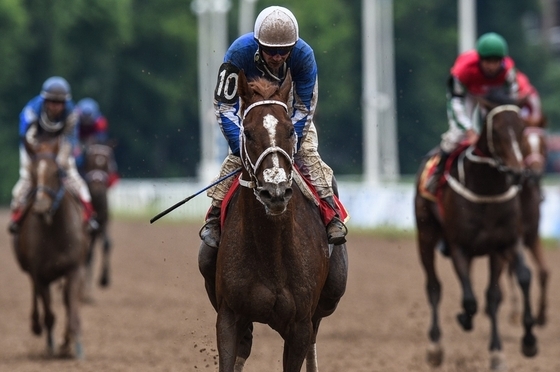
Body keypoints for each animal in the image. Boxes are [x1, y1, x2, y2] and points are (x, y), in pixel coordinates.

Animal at [12, 134, 88, 358]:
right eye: (32, 172)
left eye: (57, 172)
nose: (41, 206)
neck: (55, 233)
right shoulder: (39, 274)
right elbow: (49, 313)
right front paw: (52, 344)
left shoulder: (74, 269)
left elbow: (72, 309)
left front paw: (74, 345)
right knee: (36, 296)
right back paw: (37, 326)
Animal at [197, 70, 346, 372]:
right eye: (248, 132)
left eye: (290, 130)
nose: (274, 190)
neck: (271, 251)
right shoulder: (229, 316)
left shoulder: (299, 325)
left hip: (332, 292)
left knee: (315, 333)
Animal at [416, 100, 540, 370]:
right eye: (497, 131)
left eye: (522, 129)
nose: (517, 172)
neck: (486, 189)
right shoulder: (459, 246)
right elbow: (470, 300)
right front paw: (464, 318)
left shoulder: (505, 243)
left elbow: (516, 282)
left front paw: (525, 342)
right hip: (426, 235)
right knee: (434, 287)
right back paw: (435, 347)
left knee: (484, 292)